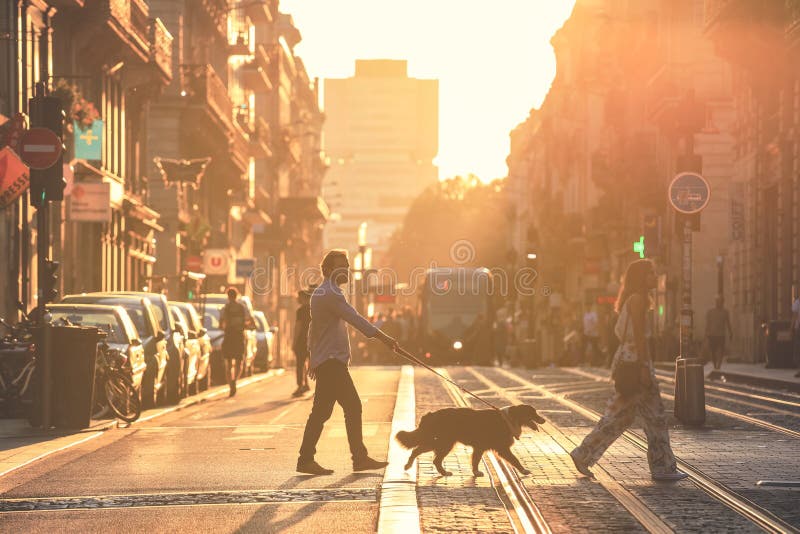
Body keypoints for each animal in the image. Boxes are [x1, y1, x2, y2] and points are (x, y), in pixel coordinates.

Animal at [394, 406, 544, 478]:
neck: (510, 418)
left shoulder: (480, 447)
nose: (543, 420)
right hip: (442, 443)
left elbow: (475, 460)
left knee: (423, 453)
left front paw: (476, 472)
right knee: (425, 454)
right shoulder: (502, 448)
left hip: (438, 442)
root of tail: (430, 415)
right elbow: (515, 460)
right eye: (533, 413)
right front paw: (524, 471)